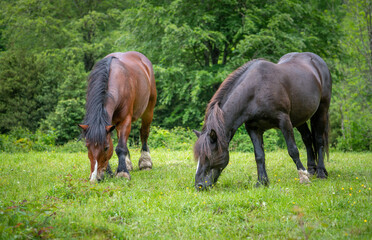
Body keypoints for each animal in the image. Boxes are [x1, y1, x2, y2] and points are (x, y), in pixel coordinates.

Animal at [79, 50, 156, 182]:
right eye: (87, 146)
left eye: (105, 147)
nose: (94, 178)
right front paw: (109, 172)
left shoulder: (124, 120)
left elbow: (120, 147)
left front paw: (122, 172)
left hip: (148, 110)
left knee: (144, 133)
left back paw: (145, 162)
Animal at [195, 52, 332, 189]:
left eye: (208, 156)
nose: (199, 185)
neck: (256, 90)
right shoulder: (253, 128)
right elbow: (259, 155)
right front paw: (262, 182)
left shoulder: (284, 121)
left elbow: (293, 150)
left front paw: (303, 178)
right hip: (299, 118)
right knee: (307, 139)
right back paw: (311, 170)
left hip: (321, 110)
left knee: (319, 140)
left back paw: (321, 172)